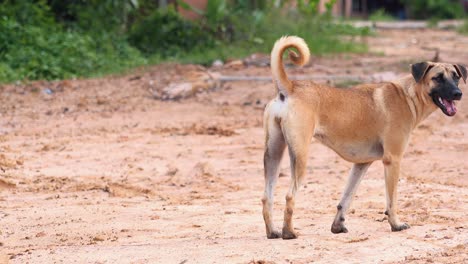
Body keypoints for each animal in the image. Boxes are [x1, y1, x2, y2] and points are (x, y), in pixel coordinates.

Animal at [262, 35, 466, 239]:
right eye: (437, 78)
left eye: (456, 77)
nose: (458, 94)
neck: (408, 95)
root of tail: (290, 87)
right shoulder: (393, 160)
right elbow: (391, 201)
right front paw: (396, 224)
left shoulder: (361, 164)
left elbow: (347, 198)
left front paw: (338, 226)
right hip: (300, 156)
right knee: (289, 196)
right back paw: (288, 232)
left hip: (273, 155)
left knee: (266, 197)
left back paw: (273, 232)